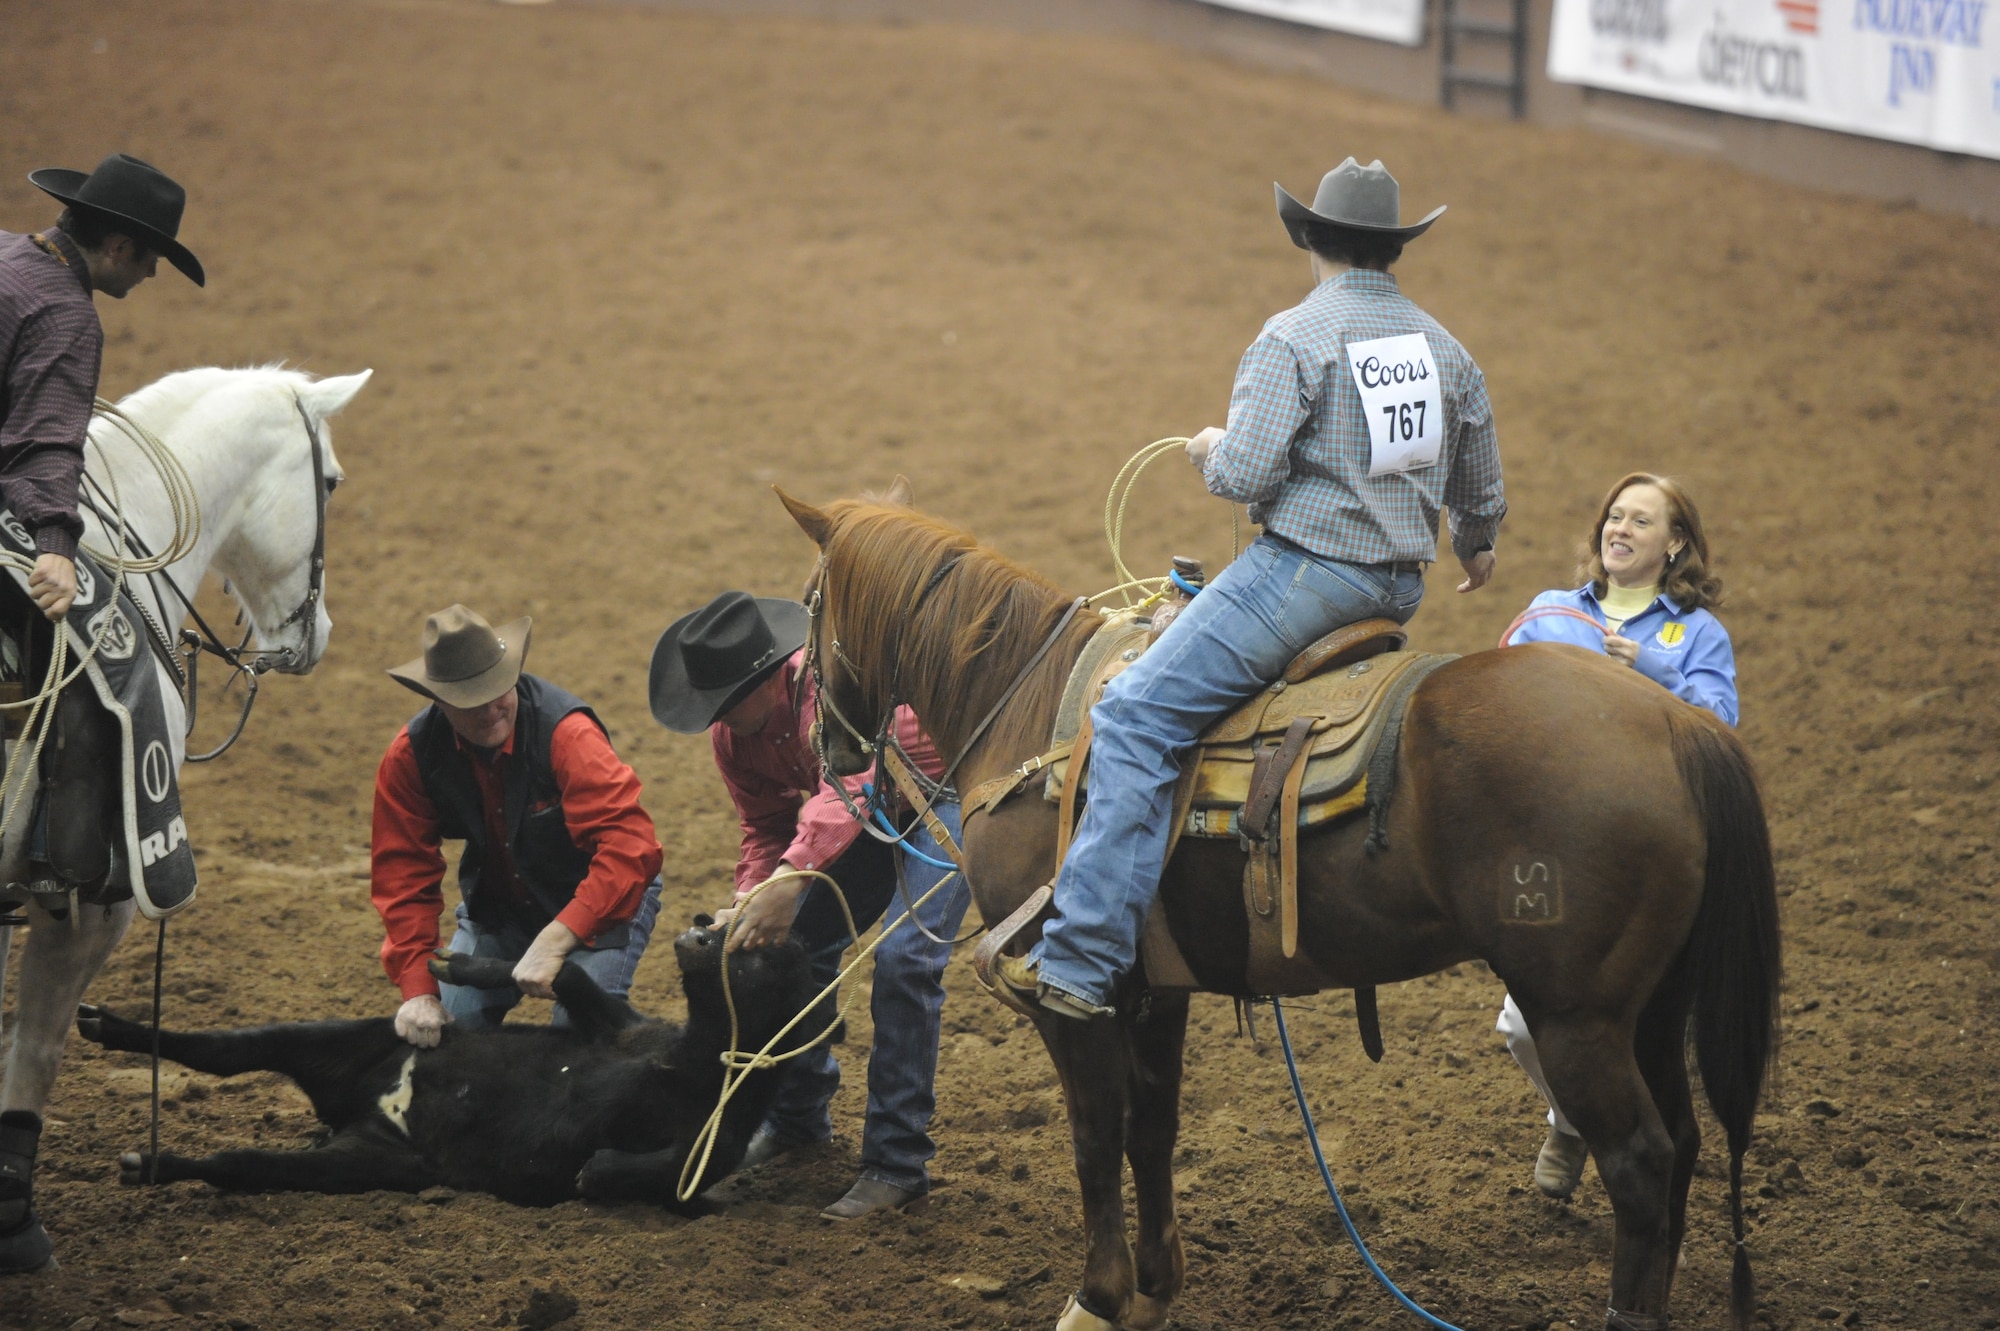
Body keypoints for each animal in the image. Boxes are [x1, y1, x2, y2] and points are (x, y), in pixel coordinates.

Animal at [72, 919, 820, 1207]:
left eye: (762, 953)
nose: (702, 927)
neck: (683, 1062)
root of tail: (365, 1106)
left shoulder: (707, 1150)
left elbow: (628, 1173)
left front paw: (591, 1169)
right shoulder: (616, 1027)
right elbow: (568, 978)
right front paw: (454, 965)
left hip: (373, 1163)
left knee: (241, 1161)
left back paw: (147, 1162)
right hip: (335, 1035)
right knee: (225, 1049)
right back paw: (107, 1024)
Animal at [780, 487, 1784, 1327]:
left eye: (810, 607)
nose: (825, 746)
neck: (1028, 705)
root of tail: (1680, 724)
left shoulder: (1073, 997)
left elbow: (1096, 1137)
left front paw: (1095, 1300)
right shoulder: (1154, 988)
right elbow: (1151, 1130)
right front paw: (1156, 1289)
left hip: (1575, 1015)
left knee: (1642, 1163)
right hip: (1651, 1007)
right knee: (1685, 1141)